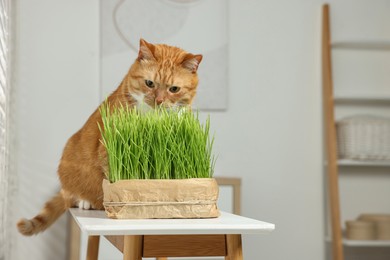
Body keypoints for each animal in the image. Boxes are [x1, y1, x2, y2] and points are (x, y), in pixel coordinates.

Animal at [16, 38, 203, 236]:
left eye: (174, 89)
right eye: (149, 83)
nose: (158, 101)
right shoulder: (110, 147)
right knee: (72, 196)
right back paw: (86, 202)